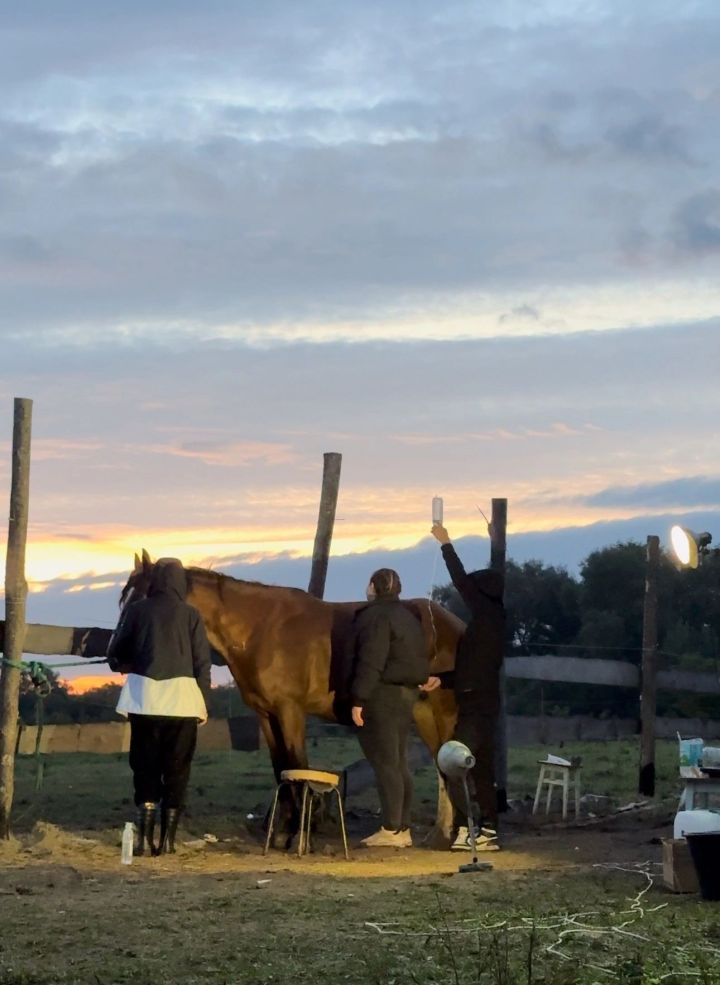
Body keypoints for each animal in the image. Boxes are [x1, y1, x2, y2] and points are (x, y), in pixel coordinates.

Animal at [119, 548, 462, 840]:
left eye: (141, 599)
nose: (117, 653)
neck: (260, 630)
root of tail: (455, 624)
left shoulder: (290, 711)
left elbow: (297, 765)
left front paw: (298, 831)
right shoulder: (266, 714)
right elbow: (281, 768)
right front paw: (283, 828)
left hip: (443, 712)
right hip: (422, 714)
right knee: (440, 765)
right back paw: (439, 834)